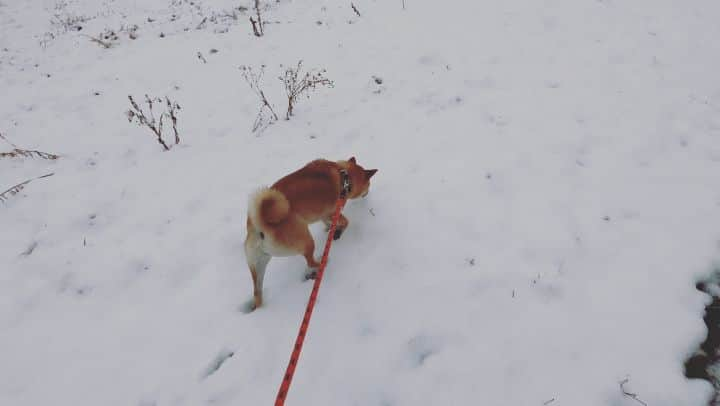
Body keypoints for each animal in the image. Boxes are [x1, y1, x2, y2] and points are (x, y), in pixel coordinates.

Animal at [245, 157, 376, 310]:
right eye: (368, 185)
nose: (368, 192)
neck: (344, 176)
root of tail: (260, 224)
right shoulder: (332, 212)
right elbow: (345, 222)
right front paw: (337, 231)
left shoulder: (324, 215)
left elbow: (327, 223)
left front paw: (330, 229)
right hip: (306, 240)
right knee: (310, 261)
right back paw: (321, 263)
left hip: (258, 264)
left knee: (257, 292)